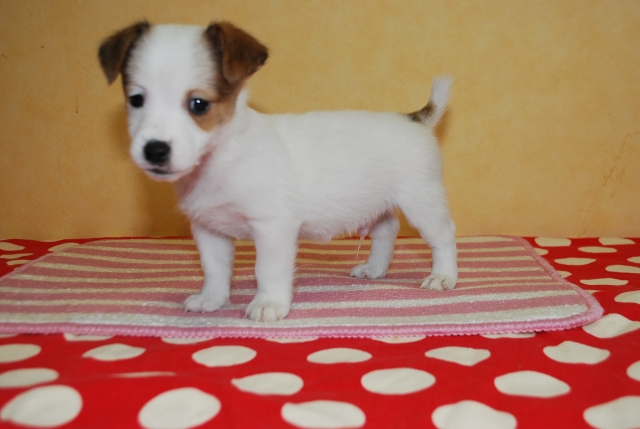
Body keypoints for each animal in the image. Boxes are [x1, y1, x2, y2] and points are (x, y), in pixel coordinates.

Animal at [98, 21, 458, 322]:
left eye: (199, 104)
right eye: (136, 100)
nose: (155, 150)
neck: (223, 158)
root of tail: (415, 118)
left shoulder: (273, 228)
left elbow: (266, 270)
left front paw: (268, 303)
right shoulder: (208, 229)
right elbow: (214, 269)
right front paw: (212, 299)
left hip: (421, 202)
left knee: (443, 236)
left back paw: (444, 276)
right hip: (376, 202)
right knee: (387, 228)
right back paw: (375, 268)